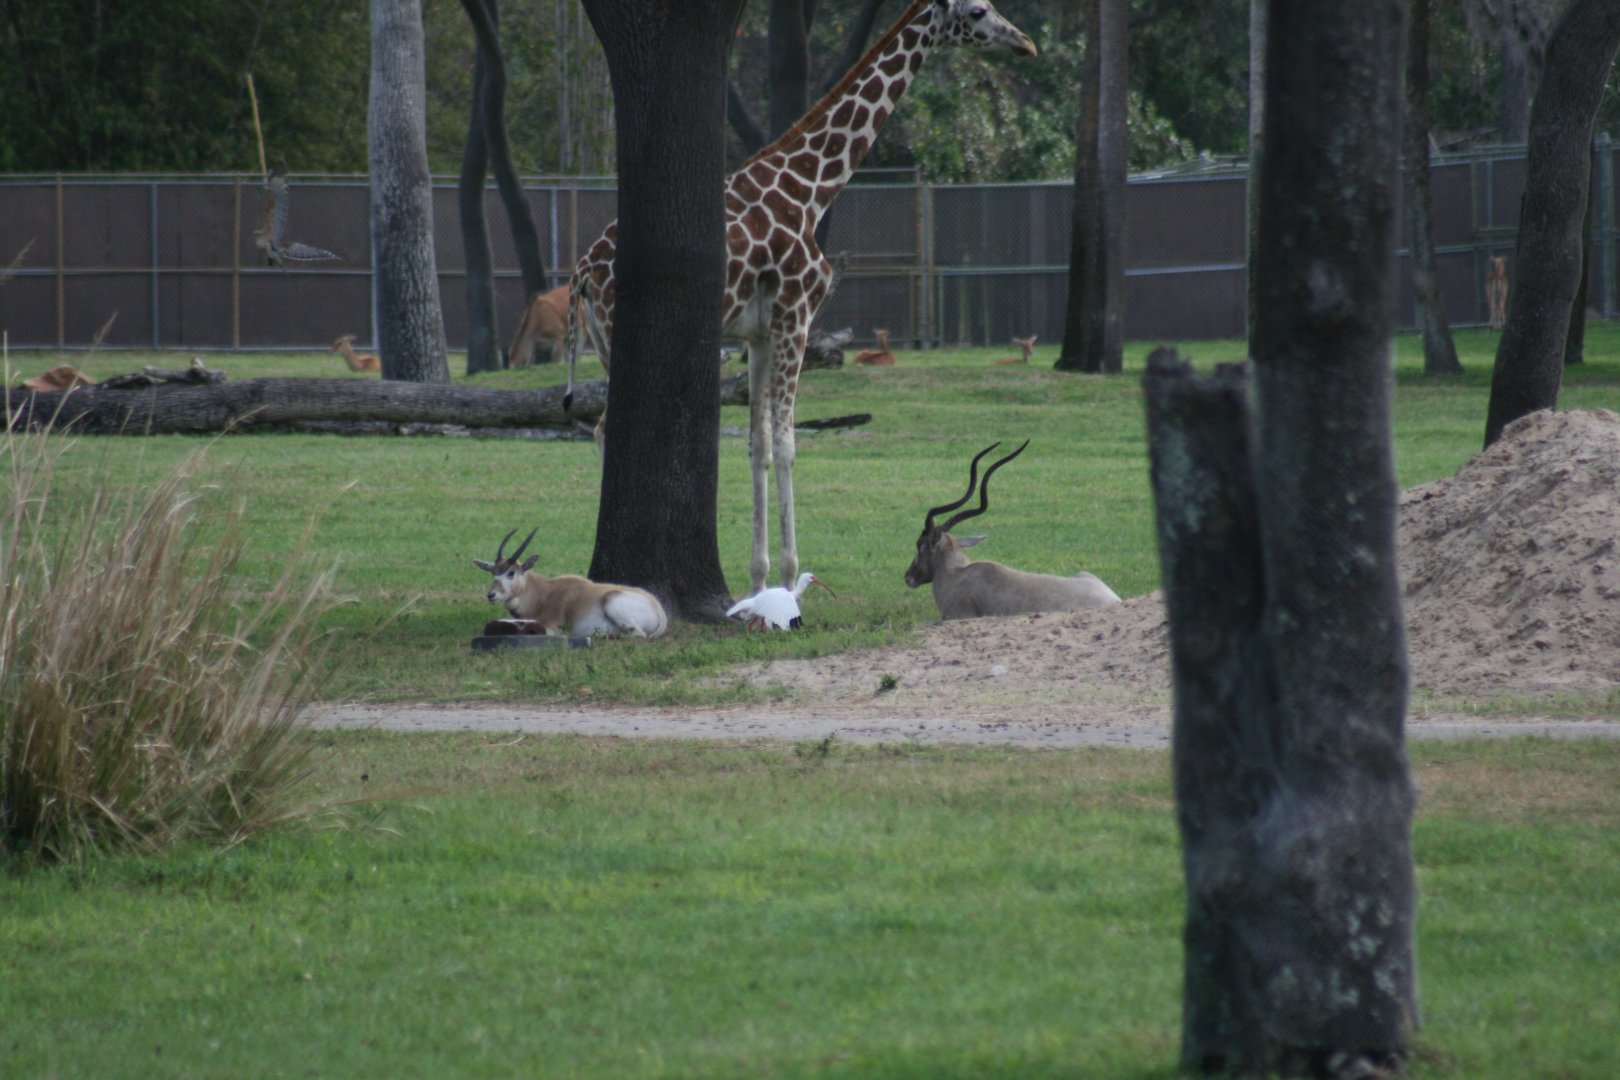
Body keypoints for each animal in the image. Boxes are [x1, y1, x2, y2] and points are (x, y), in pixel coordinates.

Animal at [473, 528, 669, 637]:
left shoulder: (551, 627)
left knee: (638, 634)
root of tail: (658, 607)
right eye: (493, 573)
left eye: (511, 573)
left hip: (612, 602)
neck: (543, 593)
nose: (491, 595)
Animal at [564, 0, 1037, 595]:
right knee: (607, 427)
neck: (810, 190)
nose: (1025, 43)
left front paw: (758, 582)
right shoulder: (798, 316)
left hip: (606, 342)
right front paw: (790, 583)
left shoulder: (759, 335)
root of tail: (581, 270)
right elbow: (789, 444)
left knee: (606, 427)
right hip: (618, 333)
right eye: (978, 11)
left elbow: (758, 445)